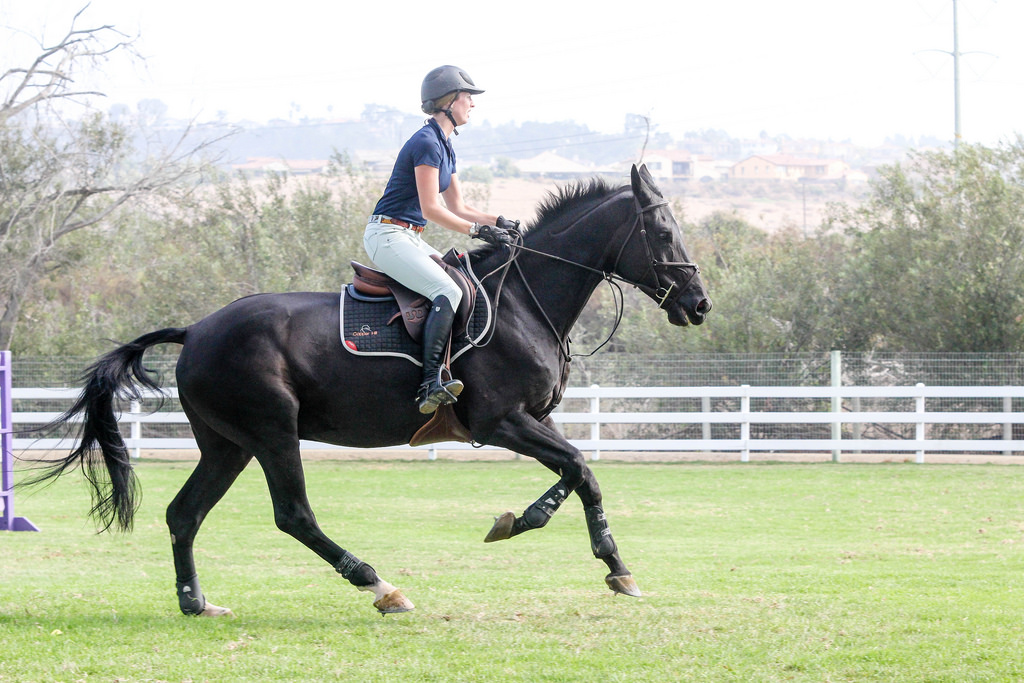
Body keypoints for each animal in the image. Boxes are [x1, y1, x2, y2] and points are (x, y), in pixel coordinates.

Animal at [34, 164, 711, 616]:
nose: (700, 304)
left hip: (228, 443)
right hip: (271, 431)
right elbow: (581, 469)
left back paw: (196, 602)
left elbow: (577, 473)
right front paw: (604, 561)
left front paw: (533, 526)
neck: (525, 299)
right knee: (294, 515)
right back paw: (379, 585)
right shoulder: (500, 422)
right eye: (661, 230)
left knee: (185, 513)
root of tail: (196, 329)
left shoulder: (532, 420)